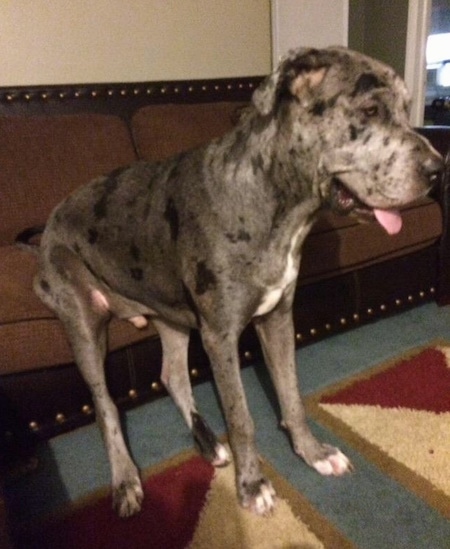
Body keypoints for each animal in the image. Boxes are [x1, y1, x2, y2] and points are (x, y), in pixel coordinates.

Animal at [34, 46, 442, 512]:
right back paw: (126, 480)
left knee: (173, 376)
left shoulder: (278, 318)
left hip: (170, 316)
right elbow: (242, 417)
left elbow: (291, 394)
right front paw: (252, 485)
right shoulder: (220, 336)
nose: (439, 169)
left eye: (407, 108)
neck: (274, 202)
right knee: (105, 407)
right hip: (82, 322)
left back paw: (209, 443)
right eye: (370, 110)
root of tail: (50, 219)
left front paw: (313, 453)